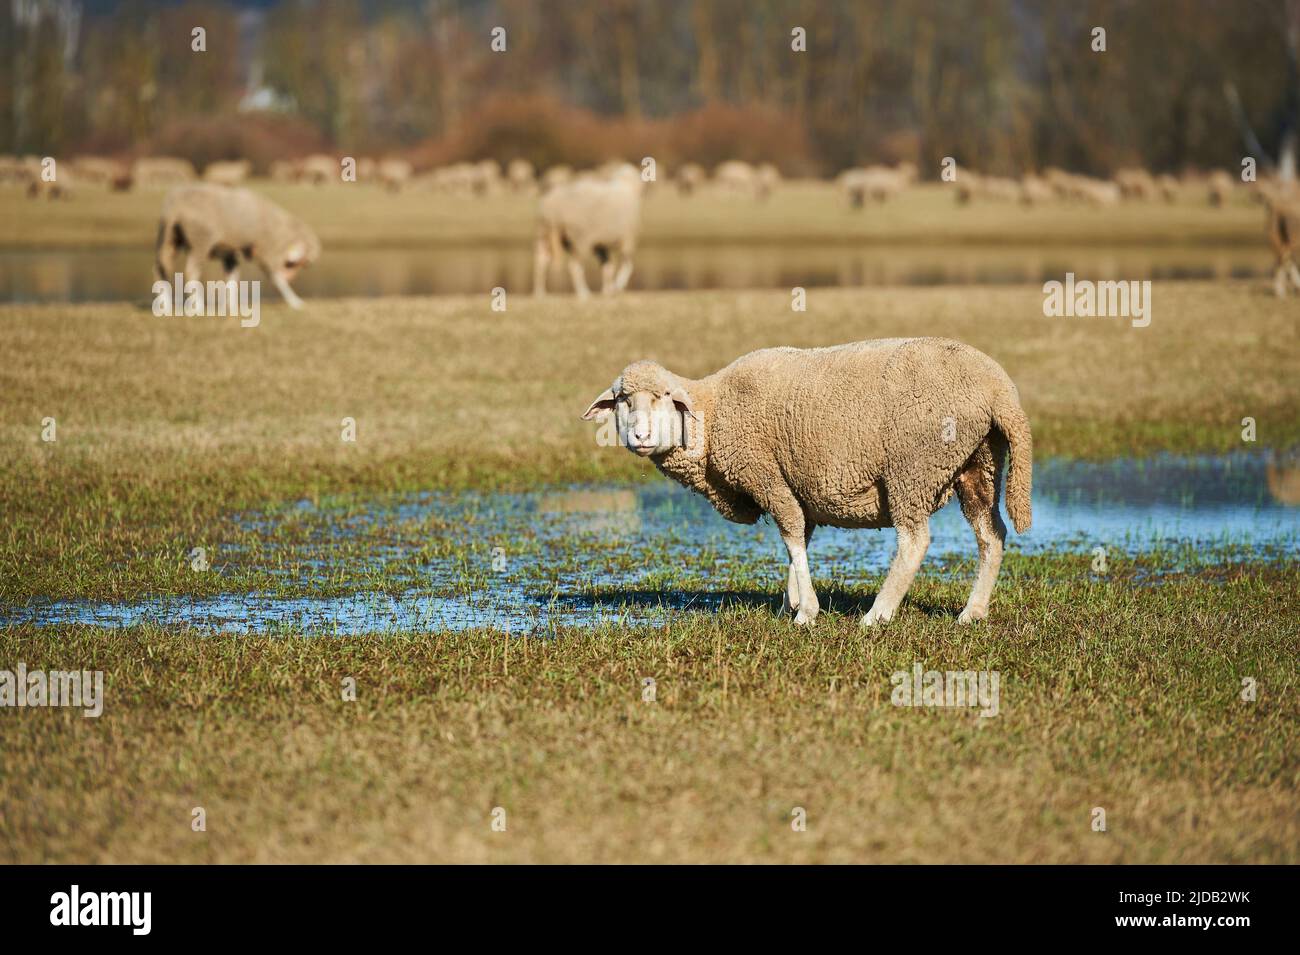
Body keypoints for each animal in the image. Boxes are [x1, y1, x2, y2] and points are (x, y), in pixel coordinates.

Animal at [152, 184, 322, 307]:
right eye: (301, 263)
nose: (291, 278)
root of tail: (175, 206)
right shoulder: (267, 251)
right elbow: (277, 279)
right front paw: (295, 302)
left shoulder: (229, 251)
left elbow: (232, 277)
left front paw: (231, 305)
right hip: (200, 240)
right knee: (191, 271)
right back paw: (197, 305)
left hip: (169, 237)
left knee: (161, 267)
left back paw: (165, 304)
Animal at [585, 337, 1029, 628]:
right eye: (622, 400)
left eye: (663, 396)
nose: (640, 436)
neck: (713, 413)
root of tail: (999, 389)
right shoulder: (797, 483)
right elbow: (798, 540)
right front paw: (791, 603)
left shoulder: (767, 475)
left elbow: (792, 537)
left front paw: (807, 612)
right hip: (978, 463)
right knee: (992, 535)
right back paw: (972, 612)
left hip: (913, 467)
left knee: (915, 541)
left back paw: (878, 614)